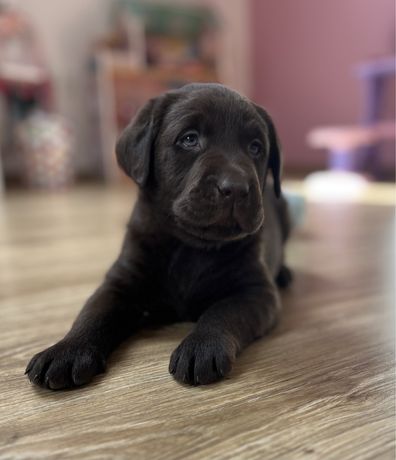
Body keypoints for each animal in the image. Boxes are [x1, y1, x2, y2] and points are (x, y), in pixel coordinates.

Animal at [24, 82, 290, 388]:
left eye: (256, 147)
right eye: (189, 139)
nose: (235, 187)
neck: (190, 245)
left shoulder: (255, 291)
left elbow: (223, 311)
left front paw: (202, 346)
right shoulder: (120, 281)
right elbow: (93, 313)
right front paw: (67, 350)